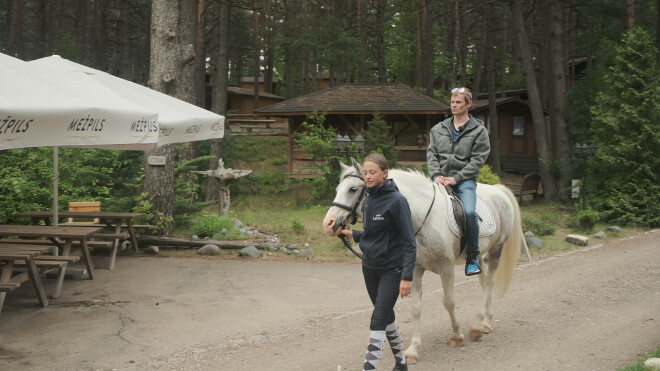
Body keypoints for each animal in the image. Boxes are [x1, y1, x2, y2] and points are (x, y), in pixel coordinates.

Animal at [322, 160, 524, 364]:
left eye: (353, 189)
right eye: (338, 189)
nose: (328, 224)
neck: (423, 217)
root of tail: (498, 190)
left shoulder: (446, 268)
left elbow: (449, 302)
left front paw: (456, 336)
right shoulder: (415, 269)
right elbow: (416, 308)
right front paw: (412, 350)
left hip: (497, 249)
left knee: (489, 282)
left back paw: (476, 327)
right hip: (477, 256)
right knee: (483, 281)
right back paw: (485, 322)